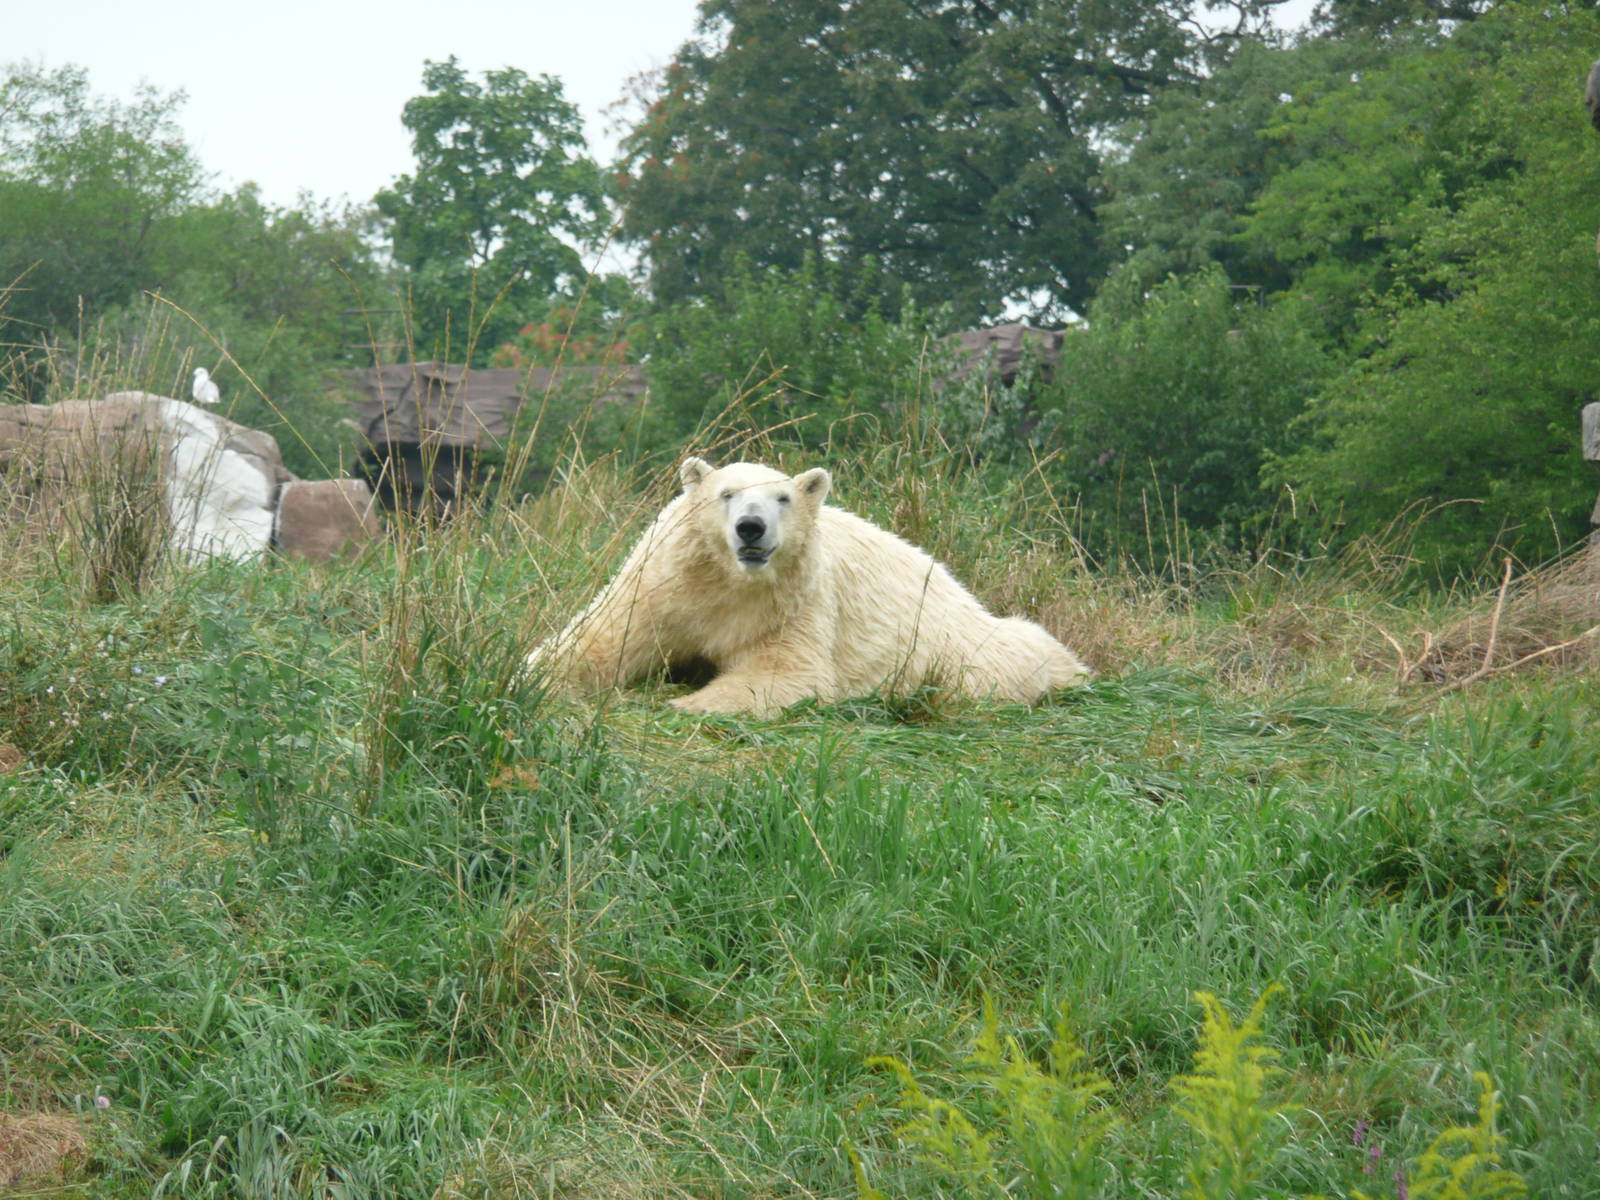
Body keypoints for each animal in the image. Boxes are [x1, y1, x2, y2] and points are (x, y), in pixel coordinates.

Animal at [526, 456, 1090, 716]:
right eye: (726, 494)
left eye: (783, 498)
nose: (750, 528)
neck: (731, 581)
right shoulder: (661, 584)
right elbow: (600, 639)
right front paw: (538, 676)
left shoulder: (795, 602)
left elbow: (785, 672)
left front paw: (686, 702)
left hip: (955, 642)